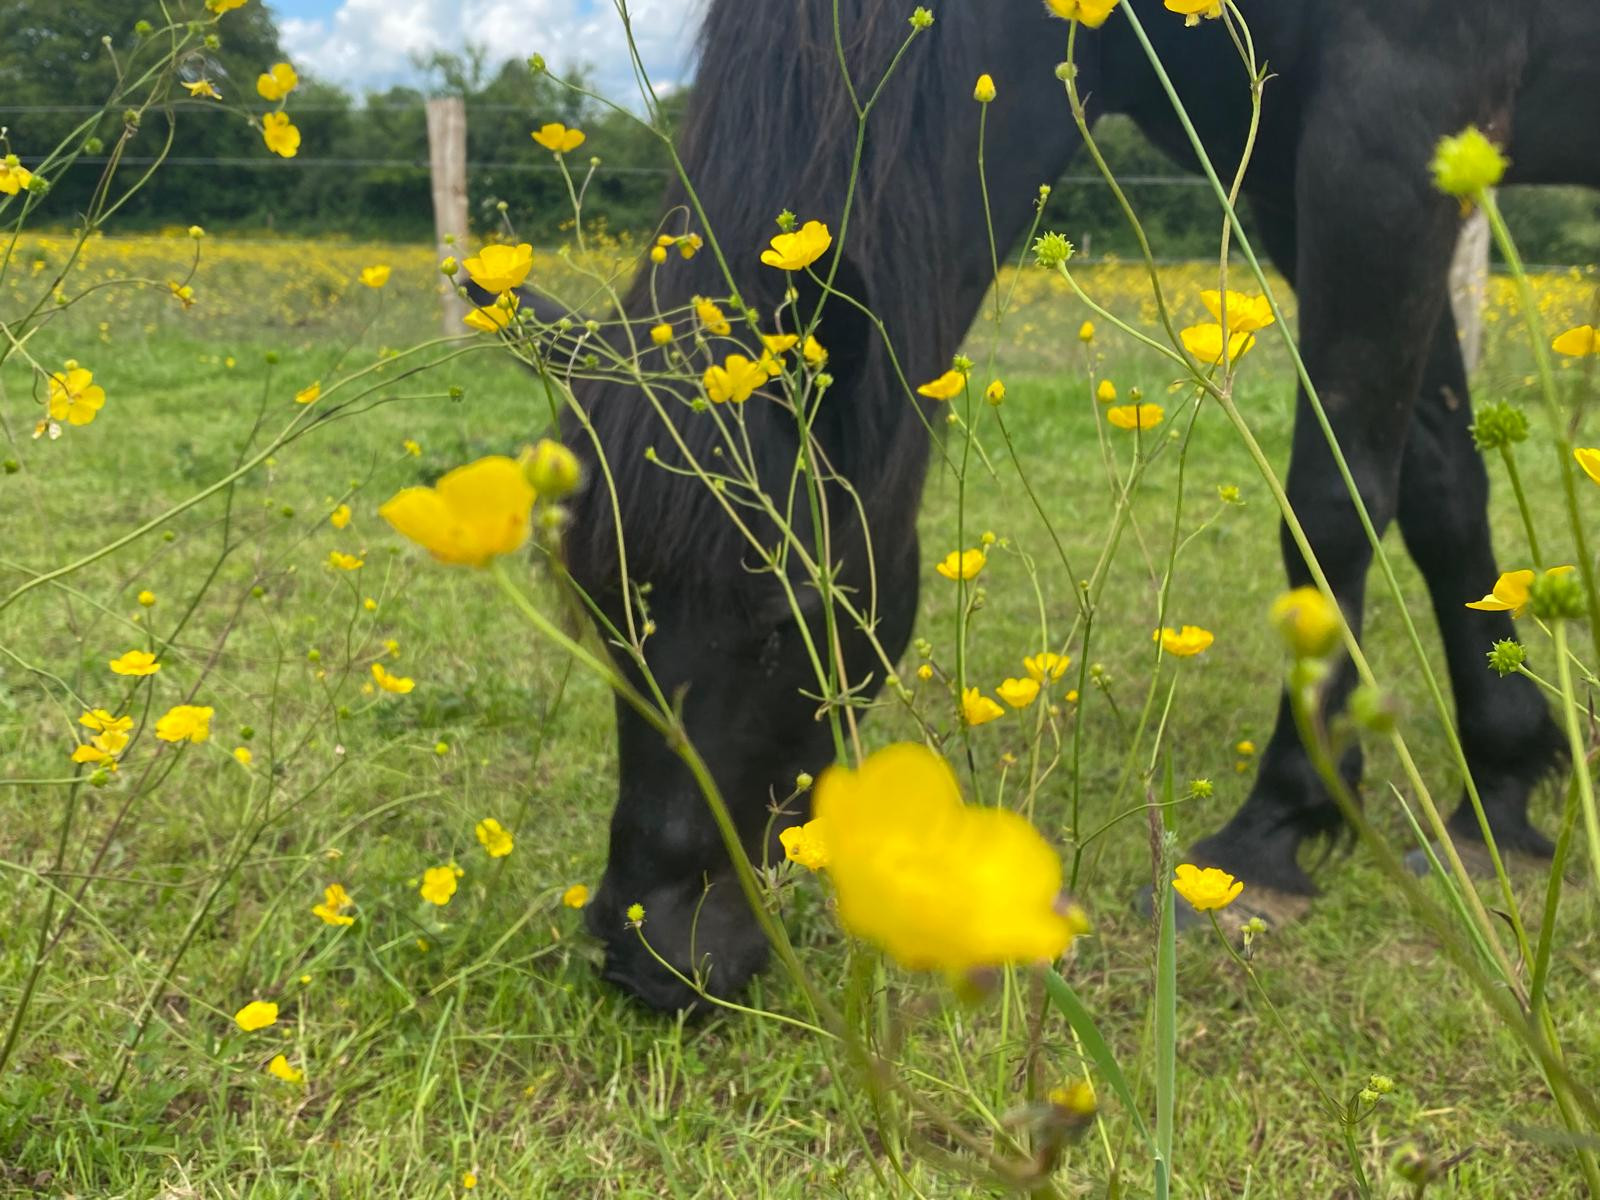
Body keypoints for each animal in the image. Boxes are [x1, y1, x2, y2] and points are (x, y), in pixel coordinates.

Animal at [555, 0, 1598, 1011]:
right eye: (598, 610)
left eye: (790, 619)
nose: (648, 957)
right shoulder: (1284, 164)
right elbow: (1439, 484)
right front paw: (1500, 787)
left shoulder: (1389, 126)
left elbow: (1333, 499)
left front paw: (1273, 831)